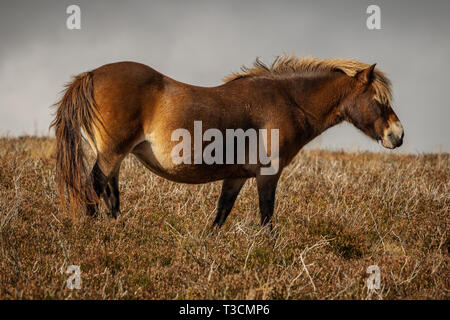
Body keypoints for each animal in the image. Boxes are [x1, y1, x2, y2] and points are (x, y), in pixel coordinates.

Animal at [50, 55, 404, 228]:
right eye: (379, 100)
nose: (397, 135)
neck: (287, 100)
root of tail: (92, 75)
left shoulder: (236, 176)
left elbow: (221, 215)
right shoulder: (267, 174)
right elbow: (266, 218)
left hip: (113, 155)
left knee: (106, 191)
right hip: (112, 153)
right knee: (95, 186)